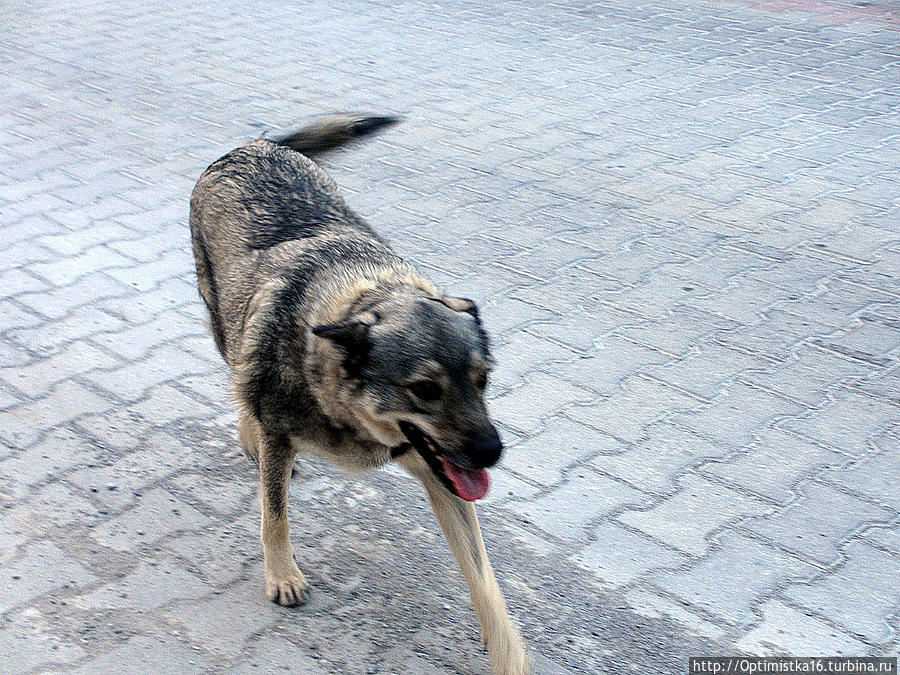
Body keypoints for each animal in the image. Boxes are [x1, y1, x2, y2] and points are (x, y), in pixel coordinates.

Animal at [187, 113, 532, 672]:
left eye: (483, 379)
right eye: (424, 389)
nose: (491, 453)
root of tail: (257, 144)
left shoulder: (444, 479)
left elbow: (486, 583)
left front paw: (508, 653)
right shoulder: (282, 431)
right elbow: (274, 516)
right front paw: (282, 574)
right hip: (224, 322)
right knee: (238, 376)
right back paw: (250, 435)